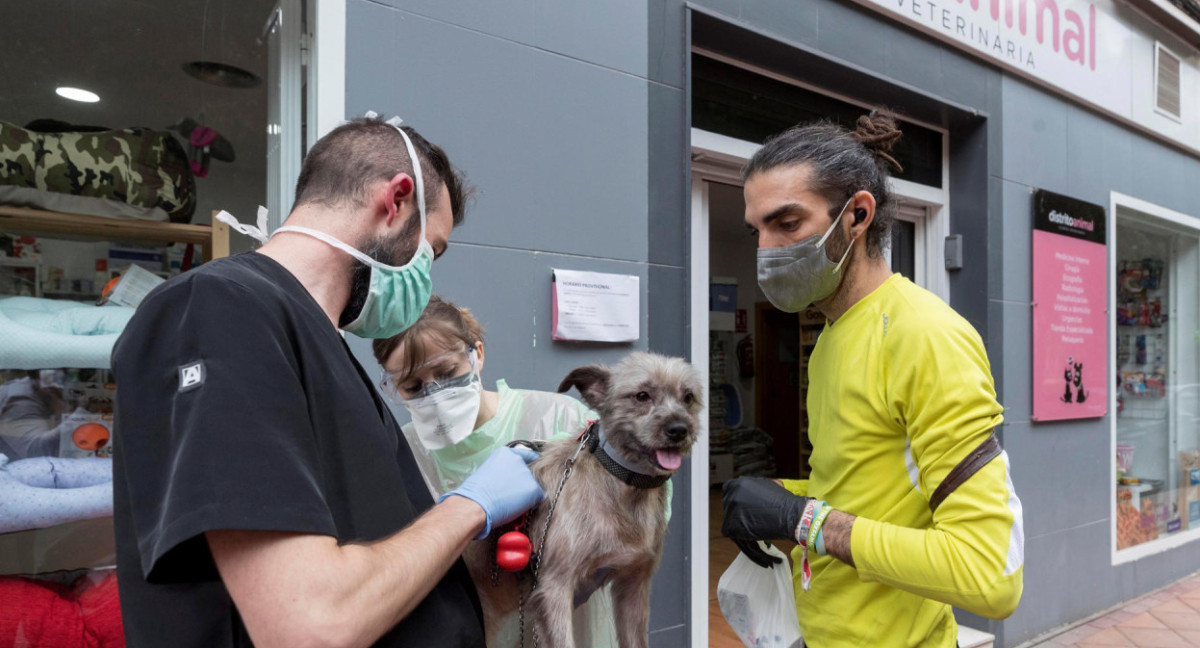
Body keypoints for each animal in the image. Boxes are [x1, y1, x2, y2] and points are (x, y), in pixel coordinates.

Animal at [460, 352, 700, 643]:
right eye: (642, 395)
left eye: (688, 397)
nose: (679, 429)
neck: (623, 482)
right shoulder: (553, 589)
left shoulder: (634, 586)